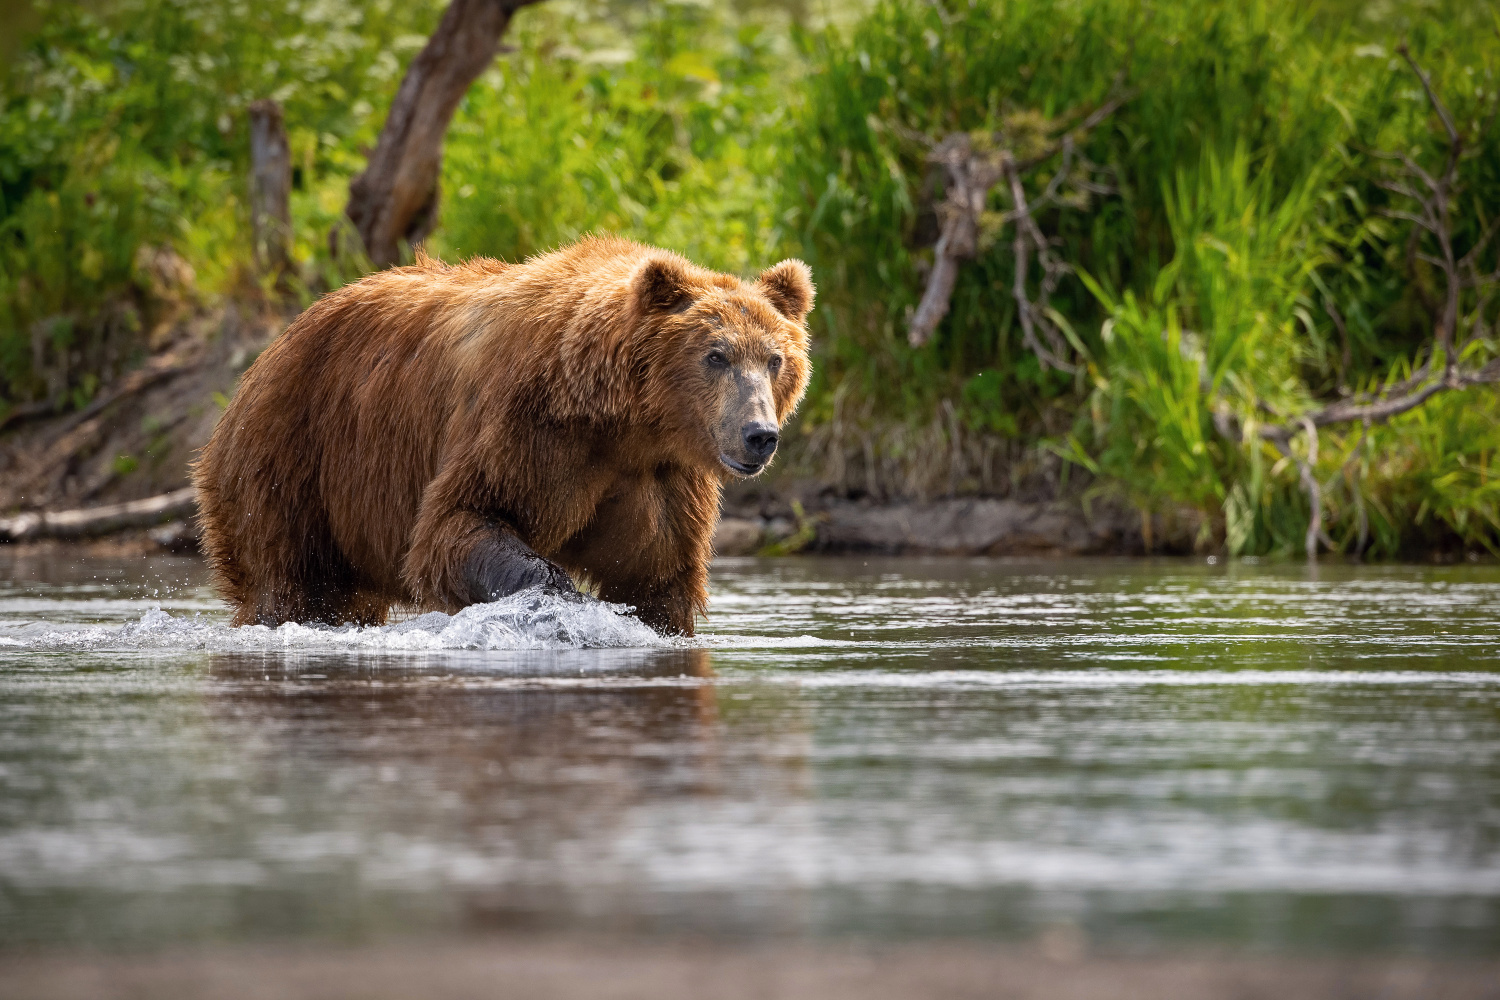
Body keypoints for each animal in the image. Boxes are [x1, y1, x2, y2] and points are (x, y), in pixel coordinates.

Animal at [193, 236, 816, 632]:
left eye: (775, 359)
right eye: (717, 355)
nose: (759, 434)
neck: (625, 422)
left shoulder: (658, 478)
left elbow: (655, 577)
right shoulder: (529, 429)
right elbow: (461, 520)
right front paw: (564, 602)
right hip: (293, 459)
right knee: (289, 581)